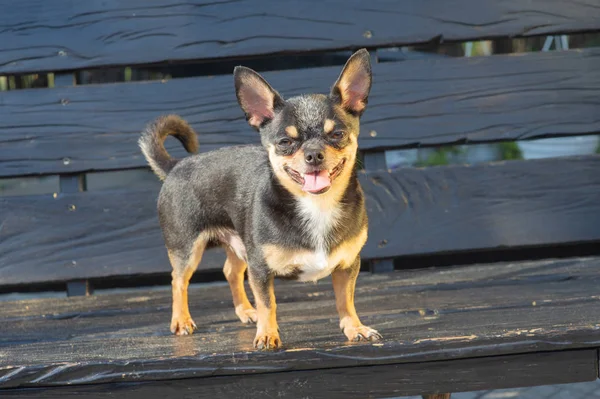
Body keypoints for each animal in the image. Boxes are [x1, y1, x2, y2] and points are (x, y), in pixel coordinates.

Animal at [139, 49, 380, 350]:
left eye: (337, 134)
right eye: (285, 142)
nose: (313, 154)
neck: (316, 206)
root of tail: (175, 166)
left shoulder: (347, 266)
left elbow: (346, 300)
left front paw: (355, 328)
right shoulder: (261, 269)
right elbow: (268, 303)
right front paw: (267, 334)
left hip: (239, 243)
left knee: (230, 271)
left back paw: (245, 310)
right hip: (187, 248)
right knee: (178, 281)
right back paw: (181, 320)